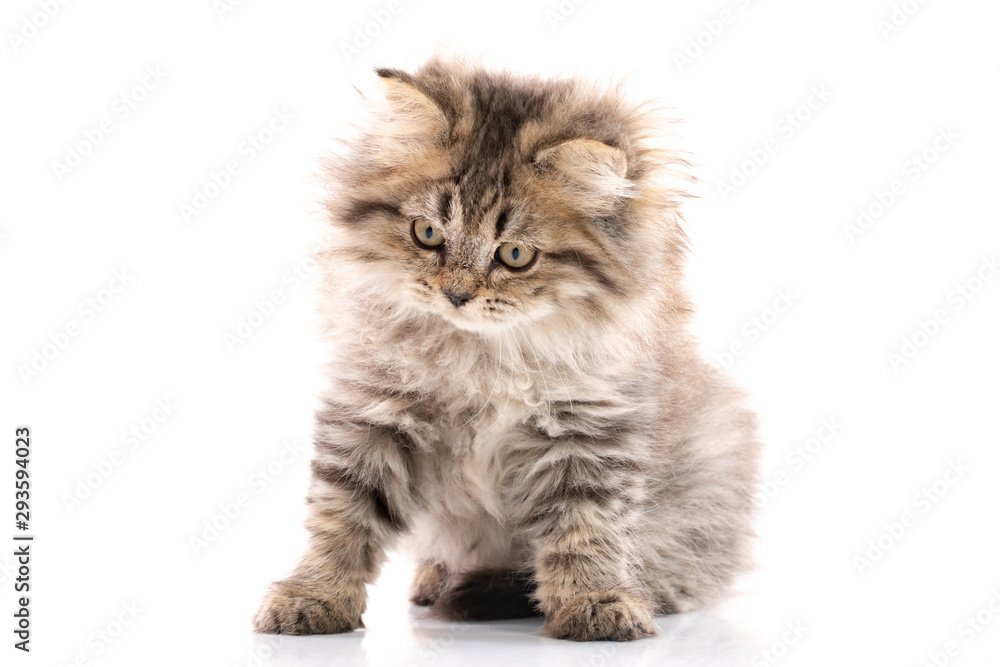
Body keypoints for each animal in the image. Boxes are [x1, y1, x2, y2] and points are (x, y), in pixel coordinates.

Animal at [254, 57, 760, 640]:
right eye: (427, 233)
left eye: (515, 255)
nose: (456, 295)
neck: (482, 357)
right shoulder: (375, 411)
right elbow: (342, 516)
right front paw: (315, 596)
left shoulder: (589, 430)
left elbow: (587, 527)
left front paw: (594, 604)